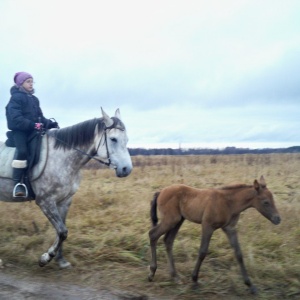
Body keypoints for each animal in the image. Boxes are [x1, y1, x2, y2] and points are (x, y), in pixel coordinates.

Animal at [0, 109, 131, 268]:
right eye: (113, 139)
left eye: (126, 139)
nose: (126, 169)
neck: (63, 158)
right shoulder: (45, 201)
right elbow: (62, 231)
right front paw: (46, 257)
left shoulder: (64, 201)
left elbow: (61, 230)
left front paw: (60, 260)